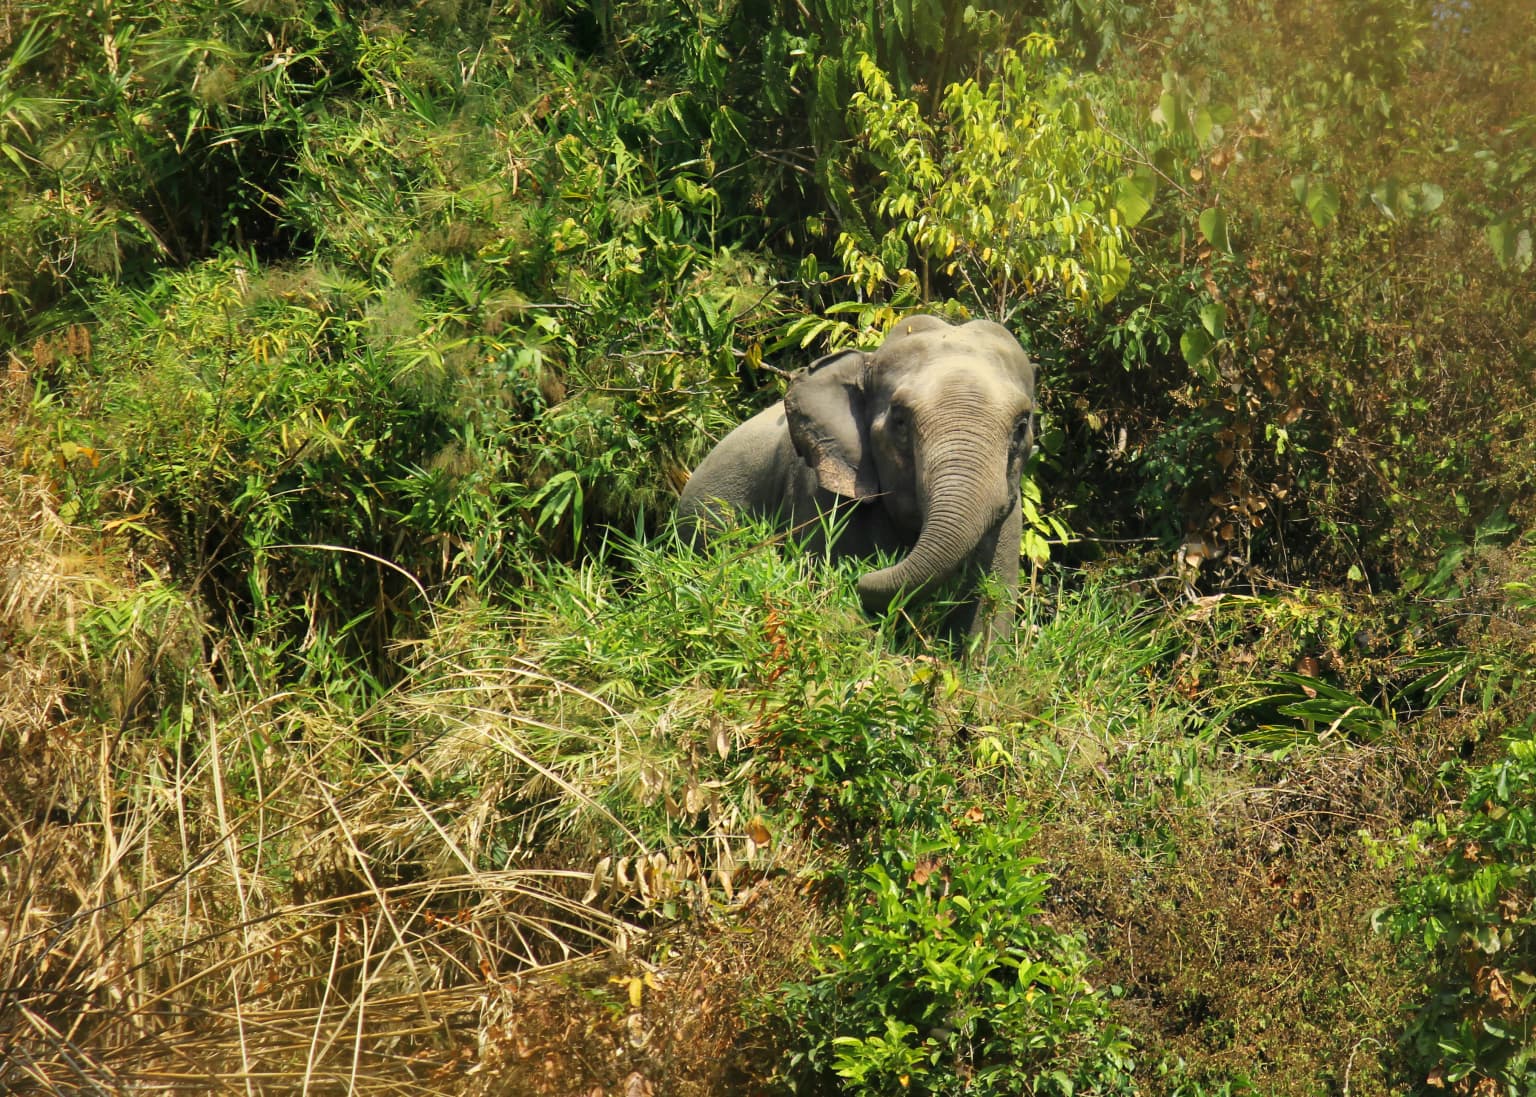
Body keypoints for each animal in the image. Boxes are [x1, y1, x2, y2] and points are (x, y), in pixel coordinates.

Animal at [677, 314, 1036, 646]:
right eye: (900, 420)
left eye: (1022, 426)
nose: (868, 573)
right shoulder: (817, 492)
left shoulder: (1010, 517)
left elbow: (987, 615)